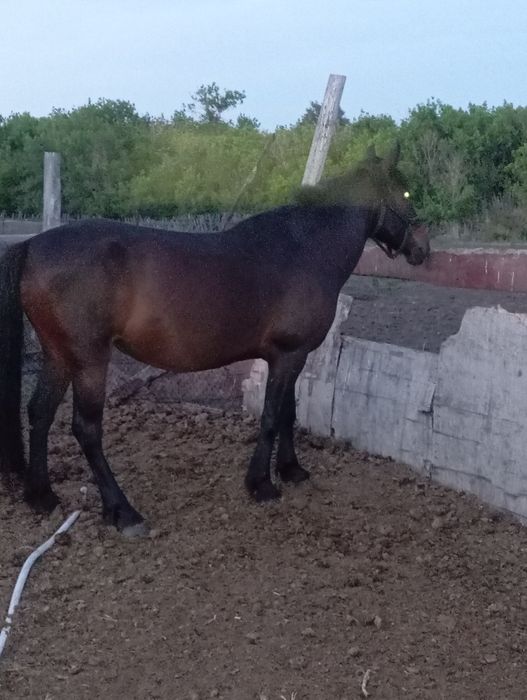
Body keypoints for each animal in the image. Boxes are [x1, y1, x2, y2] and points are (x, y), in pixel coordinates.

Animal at [0, 144, 429, 536]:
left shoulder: (292, 356)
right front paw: (261, 484)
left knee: (39, 413)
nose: (423, 250)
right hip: (89, 360)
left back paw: (42, 496)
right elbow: (271, 416)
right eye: (407, 193)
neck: (305, 248)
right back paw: (123, 512)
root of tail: (33, 245)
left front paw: (291, 470)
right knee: (86, 429)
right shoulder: (289, 355)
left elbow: (287, 413)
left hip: (59, 354)